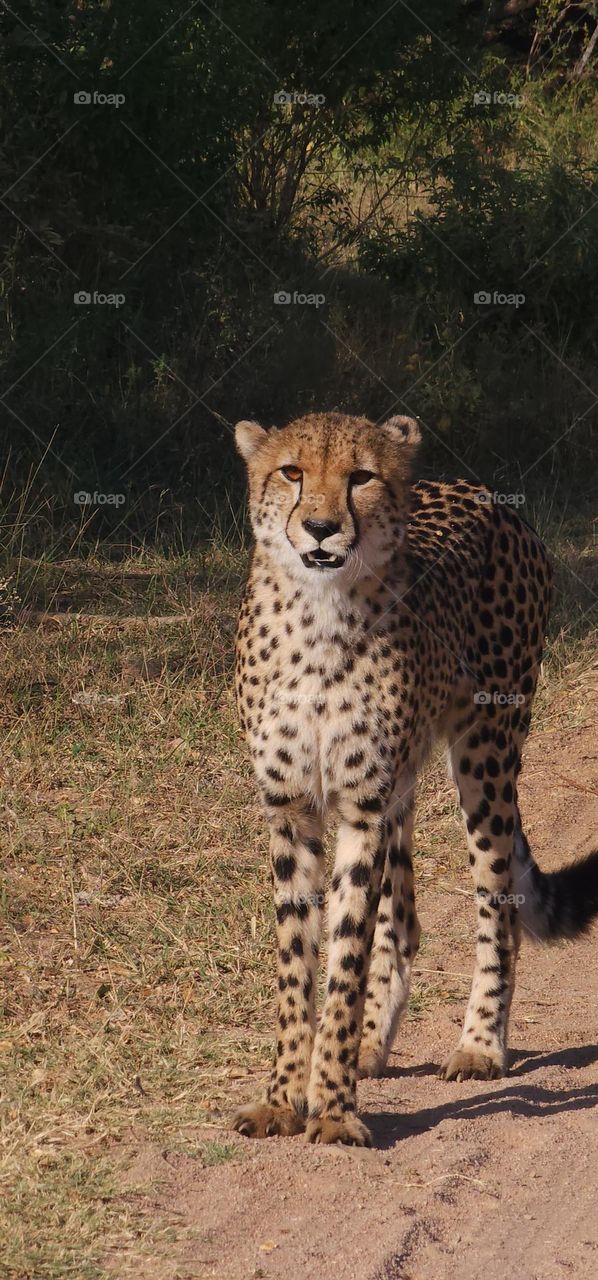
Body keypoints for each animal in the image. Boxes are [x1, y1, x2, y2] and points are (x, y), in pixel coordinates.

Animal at [231, 410, 598, 1147]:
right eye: (291, 471)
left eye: (361, 477)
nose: (321, 527)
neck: (319, 613)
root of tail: (484, 493)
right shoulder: (293, 809)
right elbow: (298, 966)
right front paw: (285, 1097)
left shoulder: (361, 806)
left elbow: (343, 958)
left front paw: (332, 1108)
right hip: (404, 785)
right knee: (403, 922)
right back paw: (372, 1043)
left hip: (486, 755)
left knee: (497, 909)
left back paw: (480, 1044)